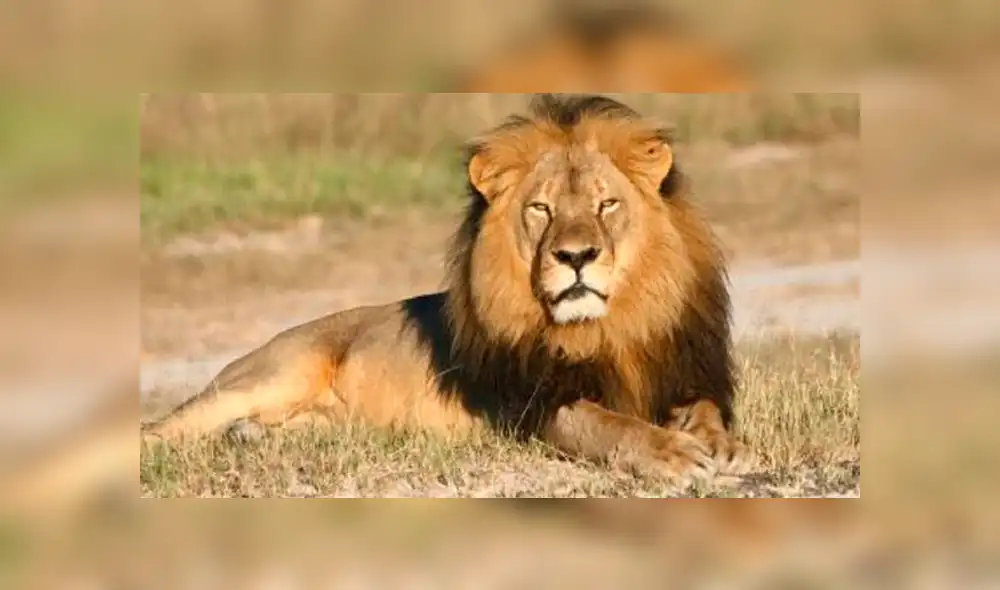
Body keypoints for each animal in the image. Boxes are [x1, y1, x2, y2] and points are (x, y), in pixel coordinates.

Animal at [142, 94, 753, 486]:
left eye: (607, 204)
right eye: (541, 209)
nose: (575, 256)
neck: (608, 327)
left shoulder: (683, 373)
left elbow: (706, 410)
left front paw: (721, 444)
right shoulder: (532, 406)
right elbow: (609, 425)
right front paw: (673, 455)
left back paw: (250, 438)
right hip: (271, 374)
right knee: (161, 428)